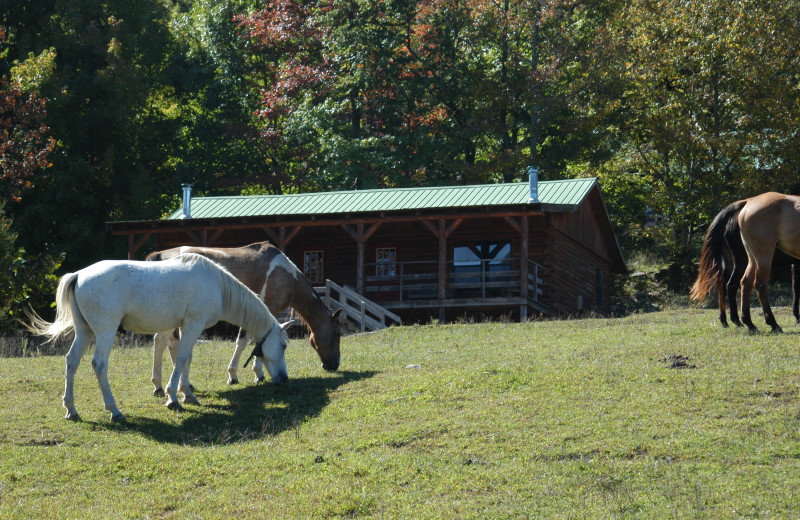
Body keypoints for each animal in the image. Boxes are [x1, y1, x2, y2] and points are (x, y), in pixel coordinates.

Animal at [24, 253, 294, 422]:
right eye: (283, 345)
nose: (283, 378)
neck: (216, 284)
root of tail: (79, 274)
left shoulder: (186, 326)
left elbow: (186, 359)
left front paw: (187, 393)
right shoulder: (193, 324)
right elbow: (182, 358)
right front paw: (173, 397)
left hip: (85, 331)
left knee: (71, 362)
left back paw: (71, 410)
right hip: (104, 331)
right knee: (99, 365)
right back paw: (114, 411)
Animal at [147, 242, 340, 396]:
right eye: (337, 335)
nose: (334, 365)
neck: (287, 275)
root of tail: (159, 255)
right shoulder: (266, 309)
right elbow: (249, 341)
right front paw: (248, 374)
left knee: (167, 343)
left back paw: (167, 384)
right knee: (164, 341)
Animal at [692, 194, 800, 334]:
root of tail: (748, 201)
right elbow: (796, 288)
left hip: (749, 260)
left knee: (741, 283)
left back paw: (745, 322)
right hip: (759, 258)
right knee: (756, 285)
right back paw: (771, 323)